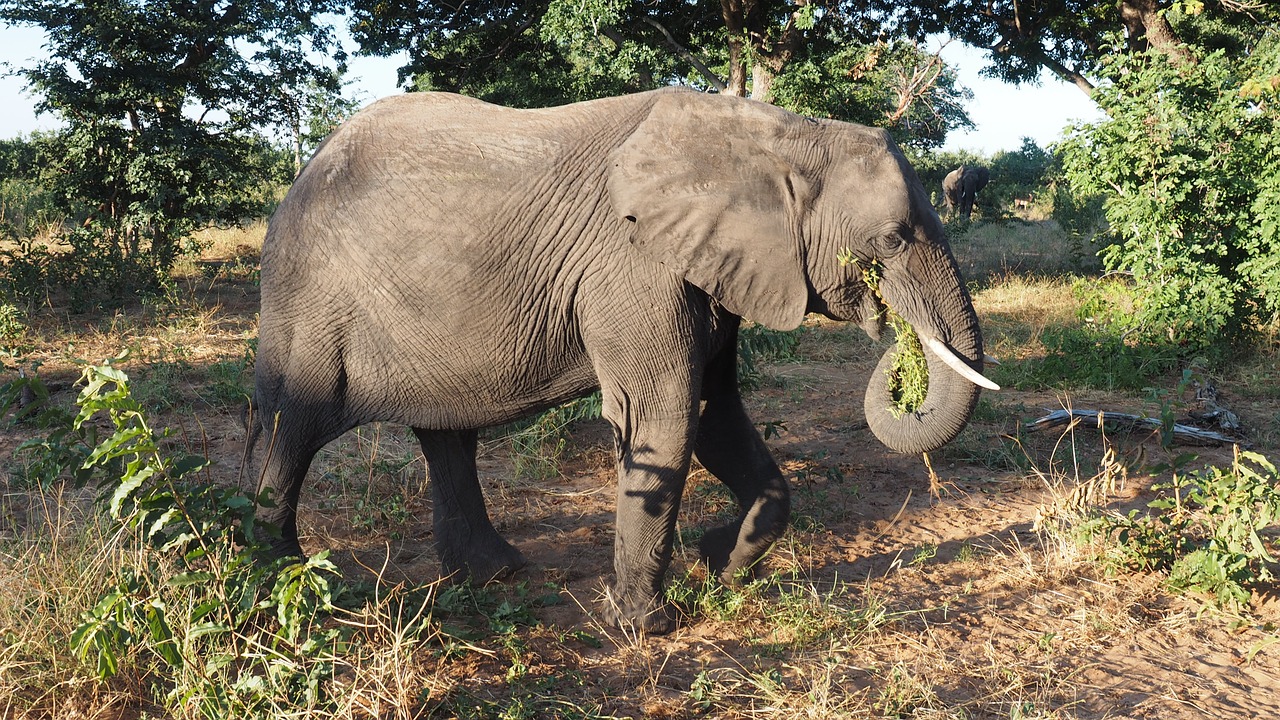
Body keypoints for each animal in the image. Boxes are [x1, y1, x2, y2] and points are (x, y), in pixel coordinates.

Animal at [249, 87, 998, 630]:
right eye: (893, 240)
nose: (897, 342)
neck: (772, 136)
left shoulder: (707, 266)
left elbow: (717, 414)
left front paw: (719, 562)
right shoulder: (634, 266)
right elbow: (664, 417)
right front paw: (642, 624)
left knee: (445, 436)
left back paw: (493, 575)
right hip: (310, 298)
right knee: (293, 423)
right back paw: (274, 584)